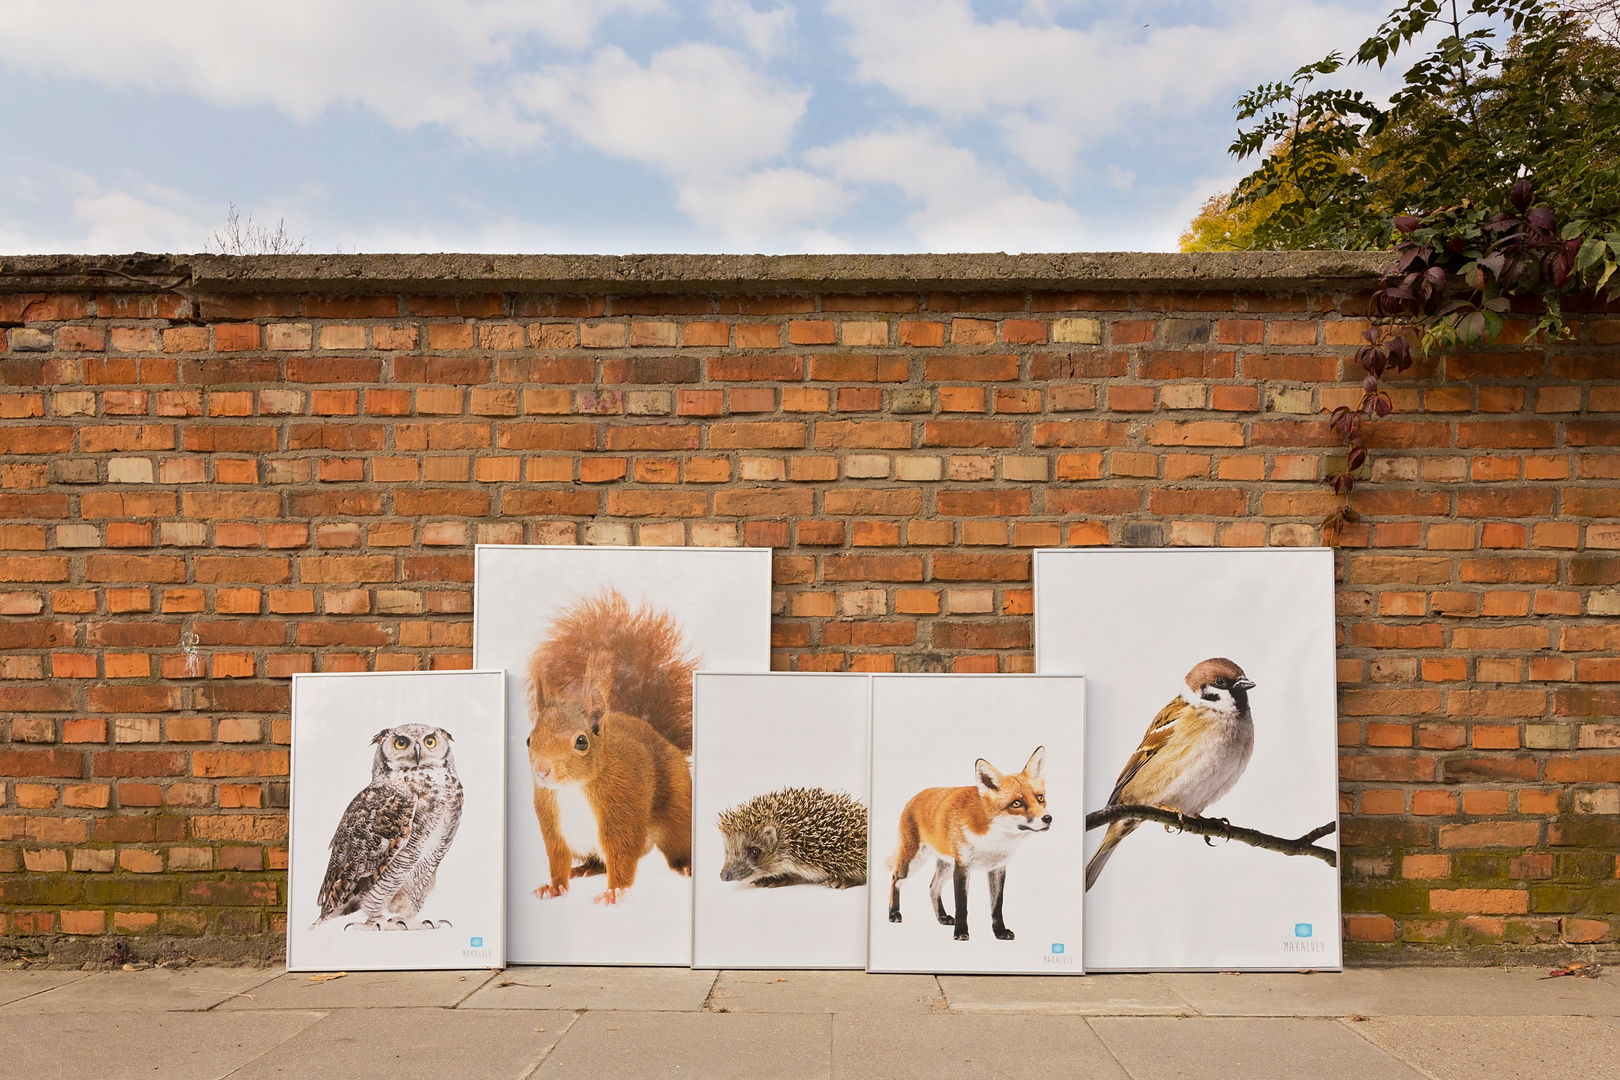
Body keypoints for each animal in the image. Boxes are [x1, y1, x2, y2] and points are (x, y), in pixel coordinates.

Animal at [887, 748, 1049, 939]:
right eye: (1017, 803)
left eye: (1040, 798)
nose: (1048, 818)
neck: (992, 842)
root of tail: (914, 797)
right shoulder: (963, 867)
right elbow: (962, 906)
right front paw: (961, 932)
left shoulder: (997, 868)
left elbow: (997, 907)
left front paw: (1000, 932)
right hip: (913, 862)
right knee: (895, 879)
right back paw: (893, 913)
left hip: (946, 865)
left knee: (933, 887)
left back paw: (942, 917)